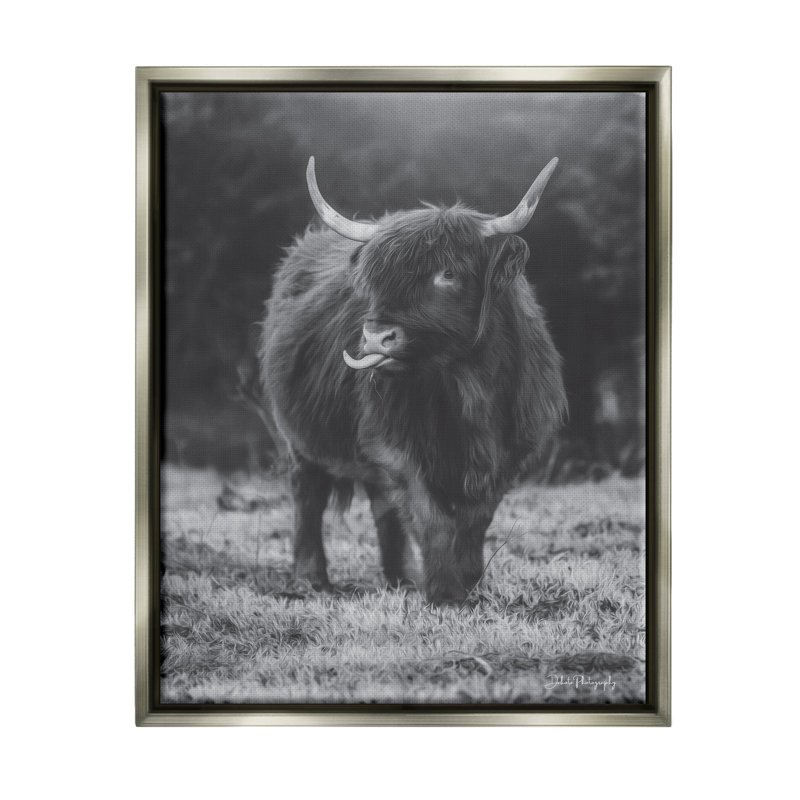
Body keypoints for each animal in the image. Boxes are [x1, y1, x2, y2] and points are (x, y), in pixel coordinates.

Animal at [259, 157, 566, 604]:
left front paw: (468, 582)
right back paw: (311, 578)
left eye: (448, 273)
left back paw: (400, 578)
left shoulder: (512, 450)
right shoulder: (393, 443)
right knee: (308, 494)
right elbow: (429, 515)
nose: (375, 337)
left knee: (381, 506)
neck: (467, 386)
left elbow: (476, 519)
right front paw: (443, 590)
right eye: (376, 277)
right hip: (298, 436)